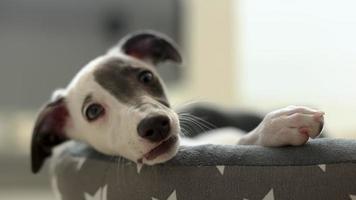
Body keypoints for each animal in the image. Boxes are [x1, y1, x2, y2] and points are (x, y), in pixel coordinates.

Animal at [31, 30, 326, 173]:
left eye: (146, 76)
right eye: (92, 111)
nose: (155, 125)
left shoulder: (224, 136)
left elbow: (240, 139)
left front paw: (280, 124)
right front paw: (280, 126)